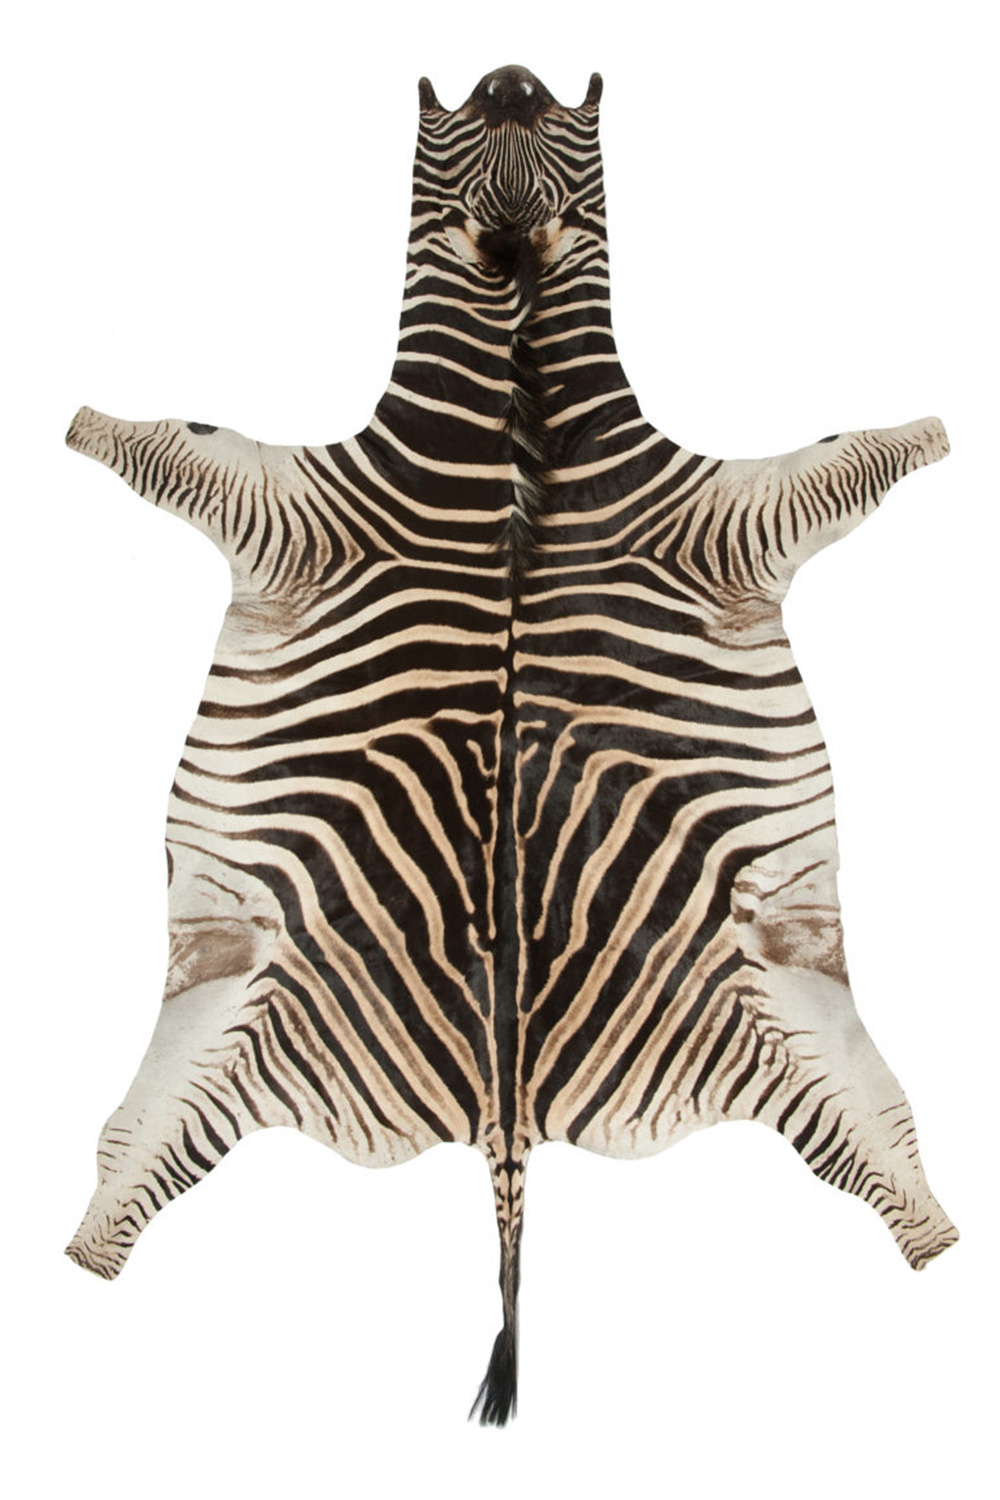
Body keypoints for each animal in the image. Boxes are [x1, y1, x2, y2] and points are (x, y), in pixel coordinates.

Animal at [65, 64, 956, 1425]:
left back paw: (936, 1230)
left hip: (786, 1013)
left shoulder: (719, 514)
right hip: (226, 1018)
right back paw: (86, 1243)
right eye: (468, 117)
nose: (511, 76)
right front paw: (80, 422)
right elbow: (170, 437)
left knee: (881, 1144)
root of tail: (505, 1113)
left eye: (555, 121)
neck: (514, 390)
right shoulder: (299, 506)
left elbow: (844, 455)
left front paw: (931, 432)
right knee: (133, 1154)